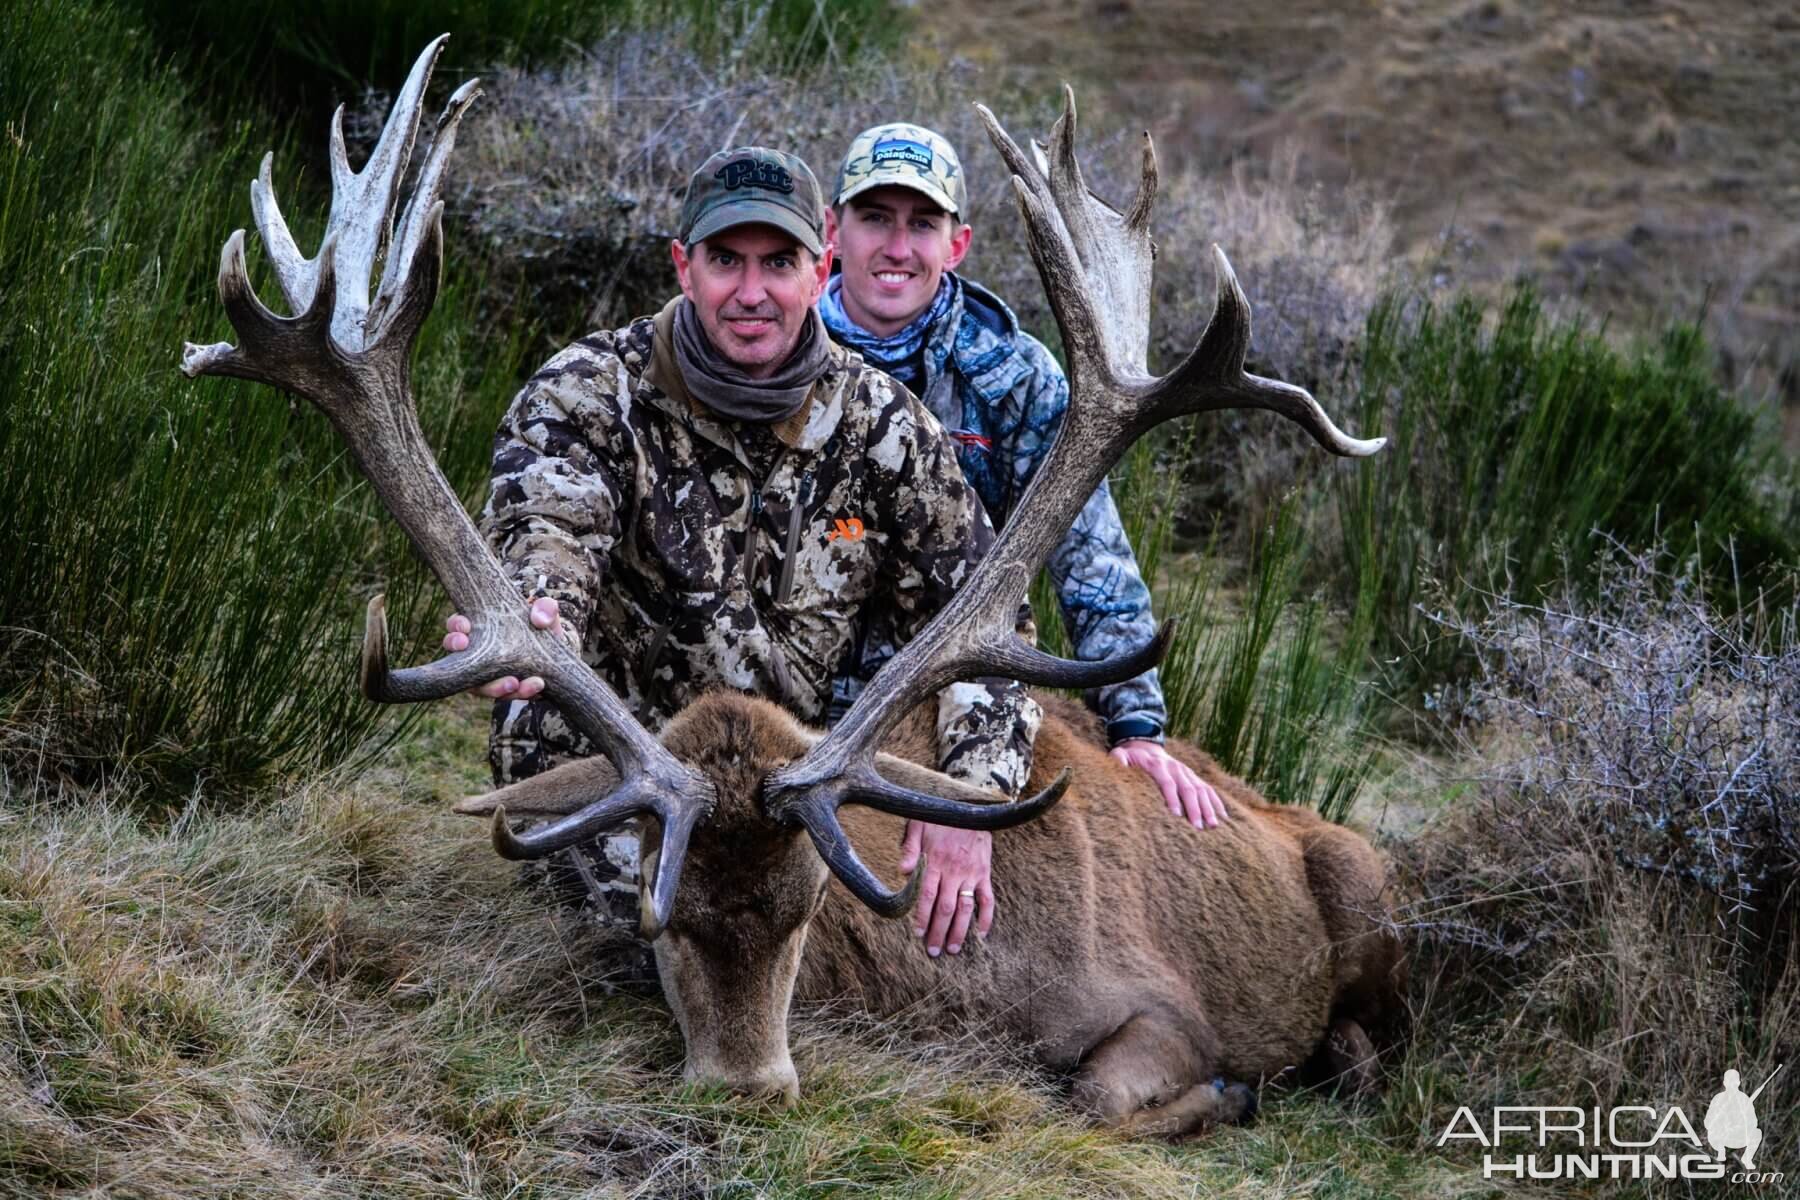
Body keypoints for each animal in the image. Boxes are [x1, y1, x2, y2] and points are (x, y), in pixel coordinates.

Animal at [182, 42, 1396, 1144]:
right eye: (657, 913)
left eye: (814, 904)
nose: (750, 1086)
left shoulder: (1164, 1009)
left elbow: (1097, 1096)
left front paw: (1233, 1089)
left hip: (1370, 887)